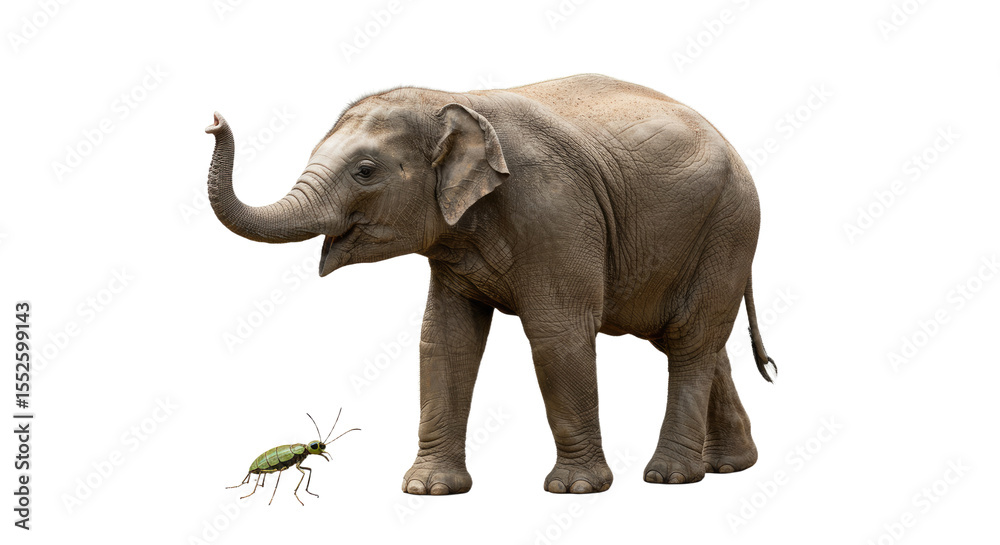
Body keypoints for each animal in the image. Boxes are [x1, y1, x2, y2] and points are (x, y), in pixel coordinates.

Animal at [204, 73, 775, 495]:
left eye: (365, 170)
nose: (213, 121)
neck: (453, 100)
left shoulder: (556, 212)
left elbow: (558, 336)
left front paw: (574, 490)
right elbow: (444, 340)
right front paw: (428, 490)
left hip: (728, 226)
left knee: (689, 340)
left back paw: (669, 477)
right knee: (695, 341)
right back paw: (730, 467)